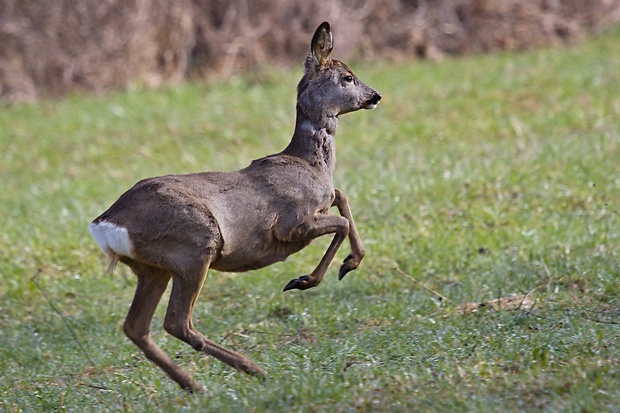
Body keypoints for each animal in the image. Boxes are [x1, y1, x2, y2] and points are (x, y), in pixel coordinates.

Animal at [89, 20, 380, 392]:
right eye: (348, 77)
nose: (375, 95)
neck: (309, 165)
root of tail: (105, 224)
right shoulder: (290, 224)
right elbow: (340, 221)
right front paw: (304, 280)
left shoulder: (320, 205)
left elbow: (341, 196)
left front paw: (351, 262)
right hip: (195, 245)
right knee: (177, 322)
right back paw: (250, 369)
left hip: (154, 268)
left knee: (136, 327)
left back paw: (194, 385)